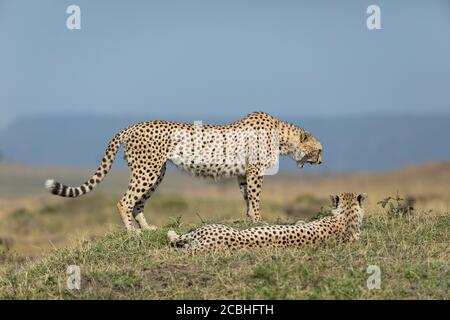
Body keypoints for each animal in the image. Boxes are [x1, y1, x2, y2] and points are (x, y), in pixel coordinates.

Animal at [45, 112, 322, 232]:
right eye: (319, 150)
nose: (321, 161)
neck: (283, 138)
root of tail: (133, 125)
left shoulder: (243, 174)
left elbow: (246, 198)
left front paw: (249, 218)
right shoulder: (254, 172)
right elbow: (255, 198)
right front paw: (258, 220)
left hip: (157, 172)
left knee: (138, 203)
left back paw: (147, 228)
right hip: (147, 170)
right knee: (124, 201)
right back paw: (132, 232)